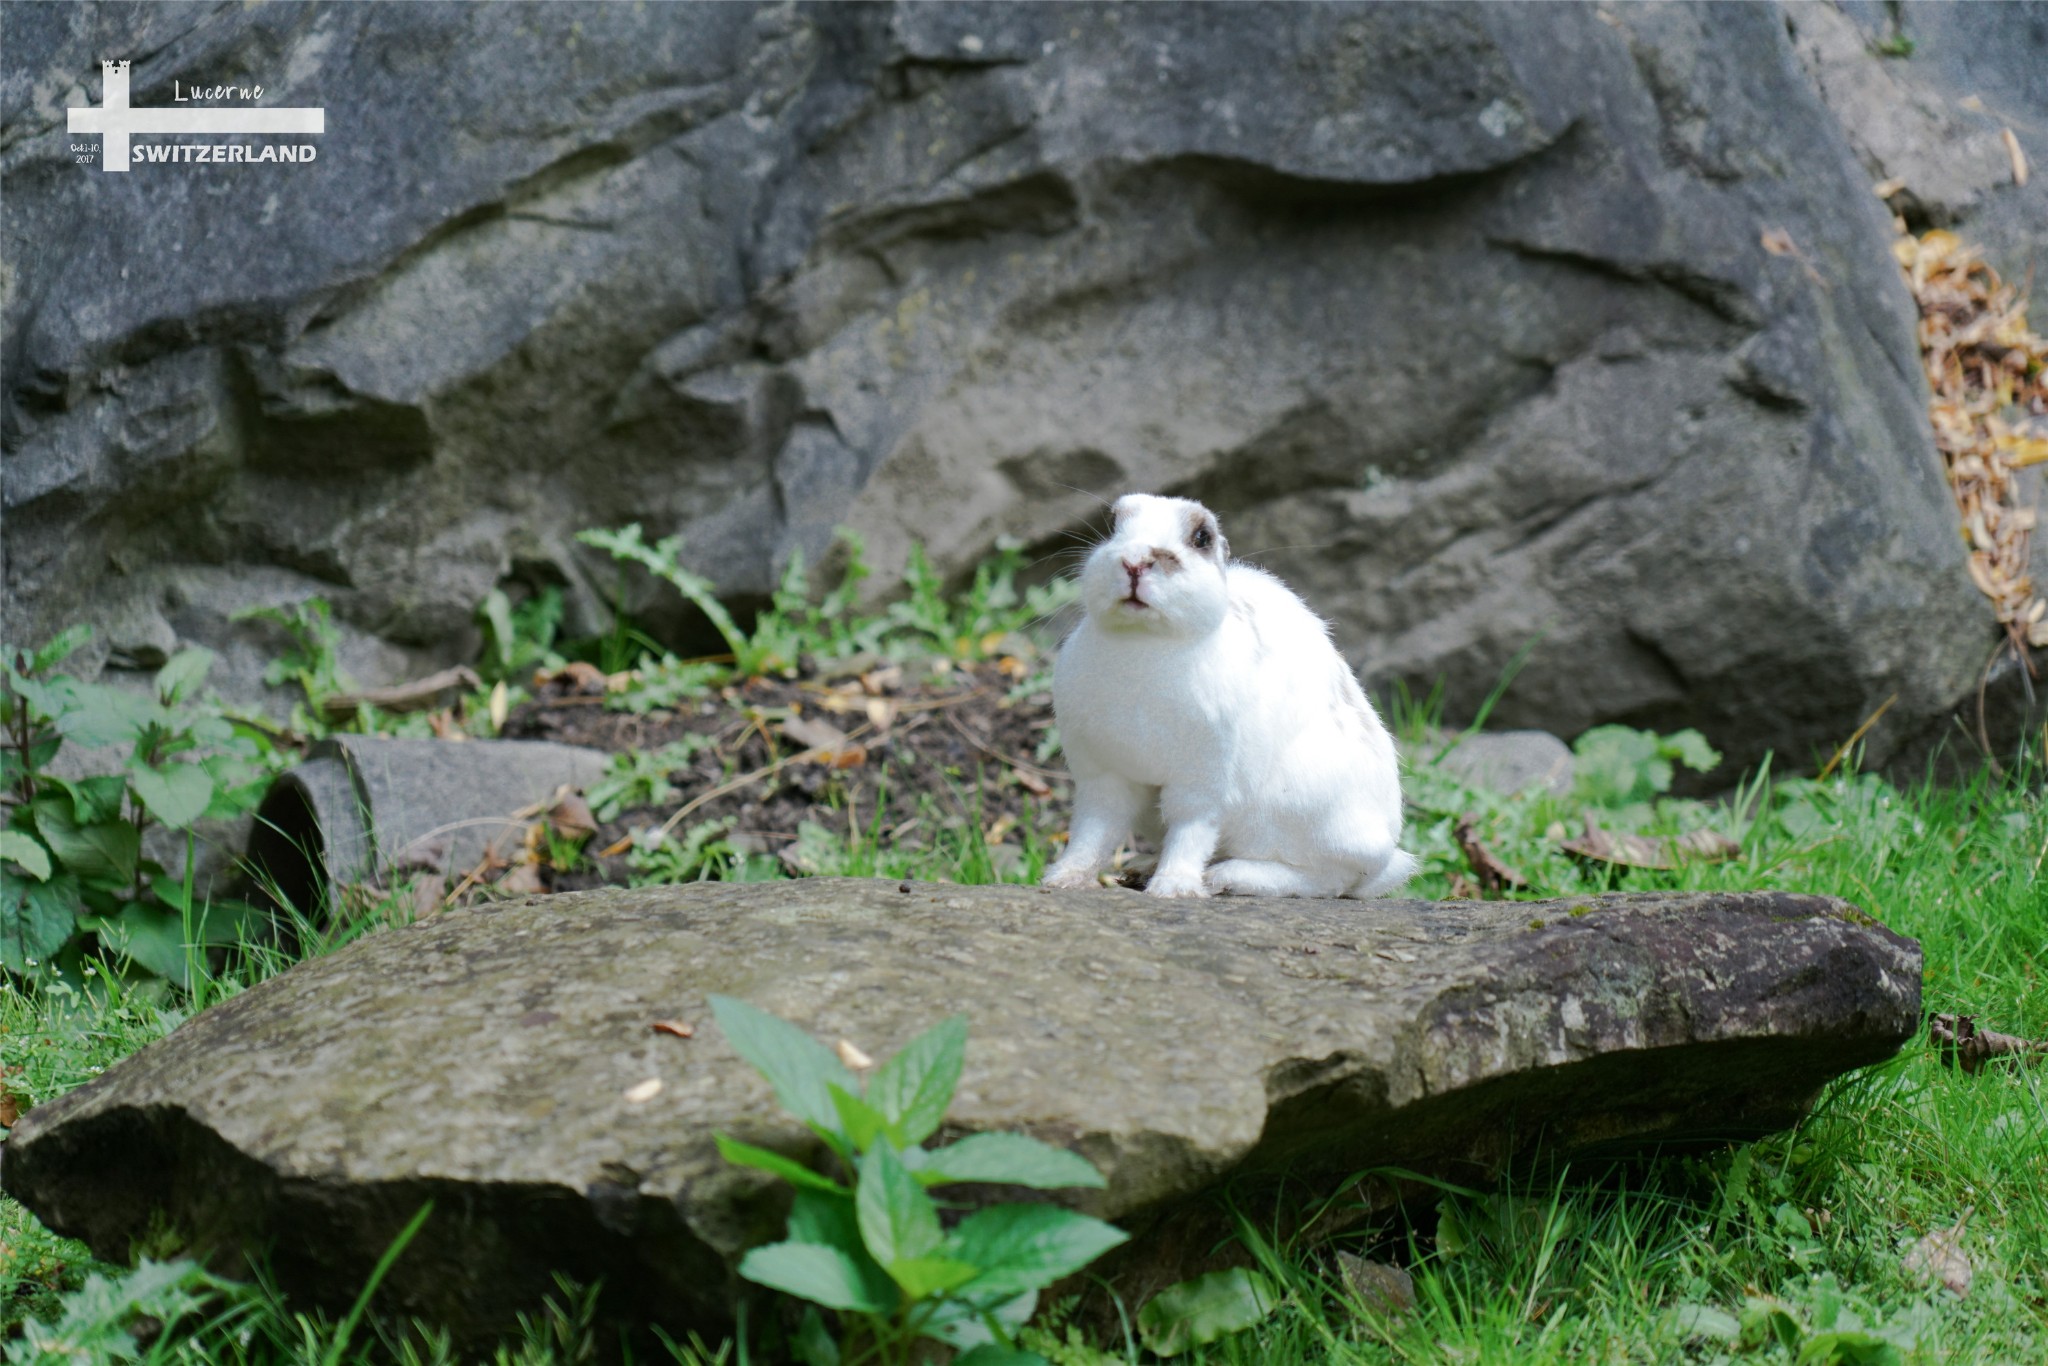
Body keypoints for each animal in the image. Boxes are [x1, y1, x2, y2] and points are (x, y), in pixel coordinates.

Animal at [1048, 491, 1417, 897]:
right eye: (1113, 525)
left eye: (1201, 538)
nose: (1135, 562)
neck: (1144, 642)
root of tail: (1383, 848)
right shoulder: (1103, 775)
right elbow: (1093, 831)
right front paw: (1065, 879)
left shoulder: (1205, 780)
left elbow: (1191, 829)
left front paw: (1174, 888)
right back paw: (1143, 868)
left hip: (1300, 816)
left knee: (1324, 879)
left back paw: (1225, 876)